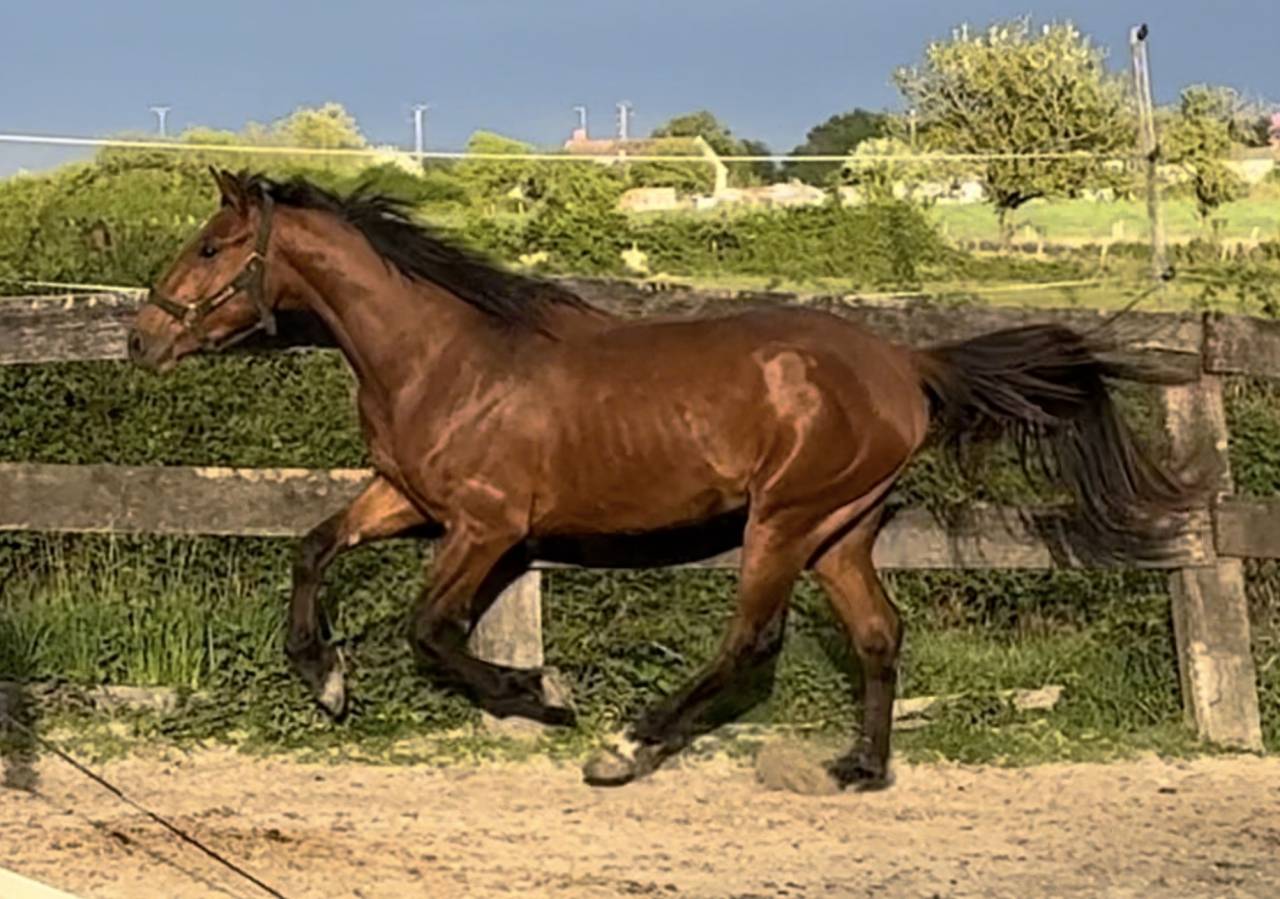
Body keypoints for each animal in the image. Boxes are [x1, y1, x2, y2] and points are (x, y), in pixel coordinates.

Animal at [127, 167, 1201, 789]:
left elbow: (431, 630)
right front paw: (326, 680)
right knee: (878, 633)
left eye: (211, 247)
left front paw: (544, 693)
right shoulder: (408, 500)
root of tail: (906, 363)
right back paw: (859, 766)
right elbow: (313, 547)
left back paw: (629, 746)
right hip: (841, 528)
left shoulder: (484, 526)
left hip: (784, 517)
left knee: (752, 640)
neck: (446, 356)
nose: (140, 339)